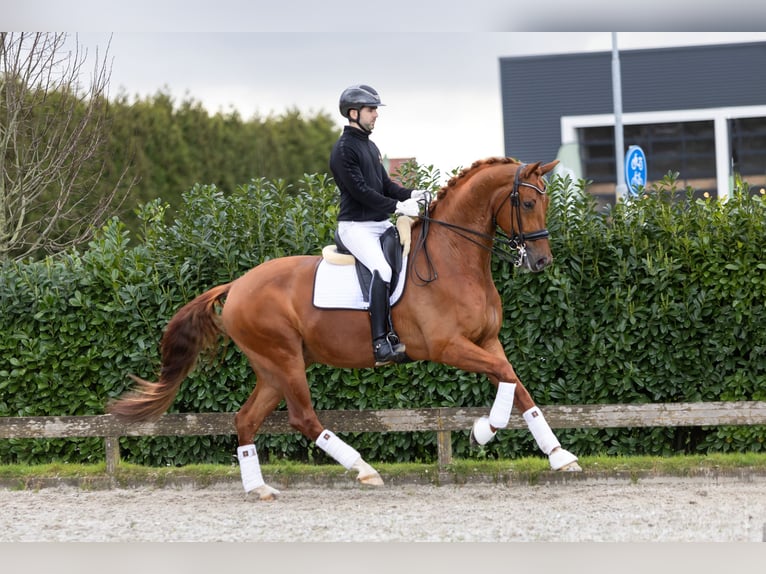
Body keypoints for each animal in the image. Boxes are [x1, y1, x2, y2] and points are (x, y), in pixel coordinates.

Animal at [109, 156, 584, 500]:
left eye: (545, 201)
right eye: (527, 203)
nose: (541, 261)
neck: (454, 257)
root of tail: (237, 284)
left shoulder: (487, 340)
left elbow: (518, 385)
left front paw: (560, 456)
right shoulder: (447, 346)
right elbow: (505, 378)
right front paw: (482, 430)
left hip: (272, 368)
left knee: (246, 419)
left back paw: (259, 488)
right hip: (284, 360)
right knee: (303, 418)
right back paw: (363, 469)